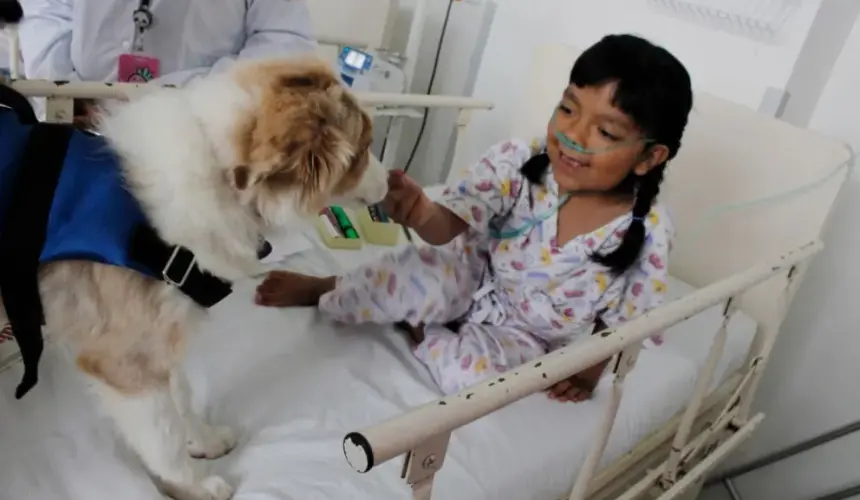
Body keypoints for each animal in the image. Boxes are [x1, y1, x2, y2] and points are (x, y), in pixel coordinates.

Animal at [0, 52, 386, 498]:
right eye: (362, 151)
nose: (392, 182)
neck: (219, 171)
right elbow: (162, 436)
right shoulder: (123, 359)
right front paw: (194, 486)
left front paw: (203, 441)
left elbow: (181, 396)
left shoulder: (165, 330)